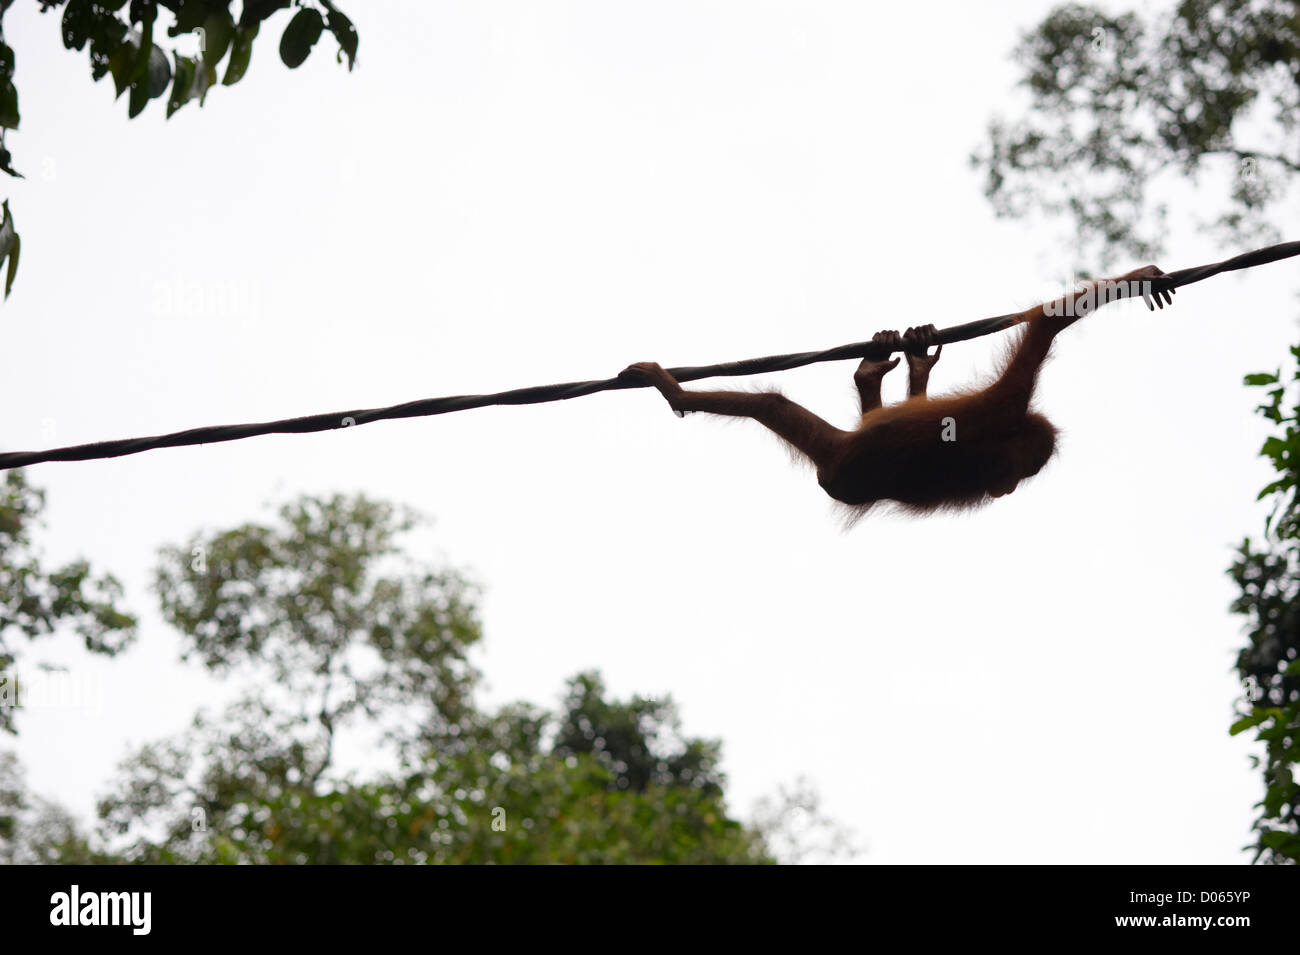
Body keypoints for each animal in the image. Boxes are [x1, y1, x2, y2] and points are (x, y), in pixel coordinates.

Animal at [620, 265, 1175, 518]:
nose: (1012, 486)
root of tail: (834, 477)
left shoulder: (1003, 404)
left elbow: (1044, 327)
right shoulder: (1004, 405)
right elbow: (1045, 327)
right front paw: (1141, 277)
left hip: (834, 456)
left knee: (770, 405)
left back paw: (675, 393)